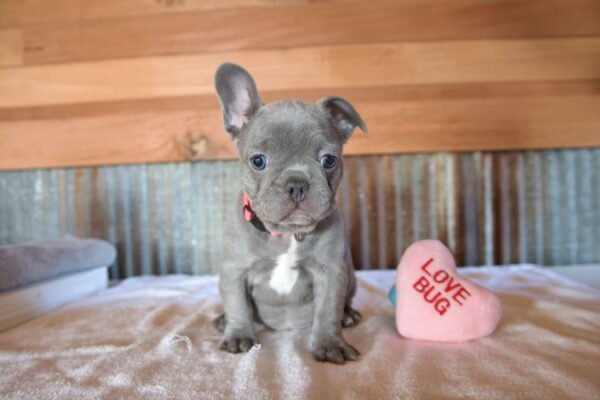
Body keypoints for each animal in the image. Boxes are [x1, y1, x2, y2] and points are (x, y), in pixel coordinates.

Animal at [213, 63, 368, 366]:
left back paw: (347, 314)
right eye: (258, 161)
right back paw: (222, 321)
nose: (297, 184)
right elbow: (238, 304)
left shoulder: (331, 272)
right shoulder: (234, 271)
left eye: (329, 160)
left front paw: (329, 343)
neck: (285, 236)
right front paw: (238, 334)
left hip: (351, 277)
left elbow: (327, 311)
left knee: (342, 304)